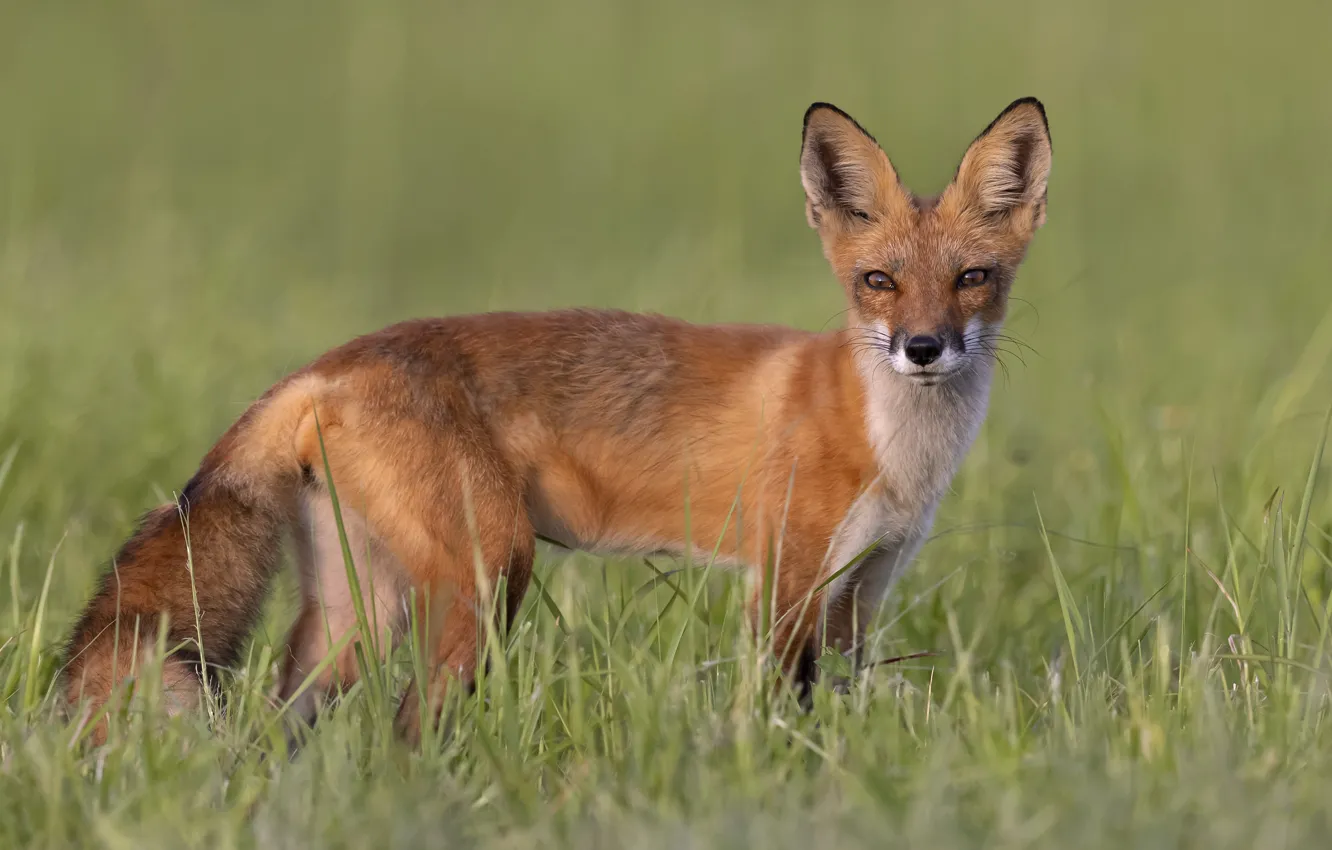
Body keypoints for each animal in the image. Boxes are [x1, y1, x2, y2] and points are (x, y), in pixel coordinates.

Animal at [62, 97, 1051, 745]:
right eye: (878, 281)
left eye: (972, 278)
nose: (923, 348)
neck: (895, 446)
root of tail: (323, 366)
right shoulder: (788, 579)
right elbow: (777, 712)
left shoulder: (863, 590)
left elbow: (836, 711)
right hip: (488, 571)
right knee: (407, 729)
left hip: (355, 616)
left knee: (279, 734)